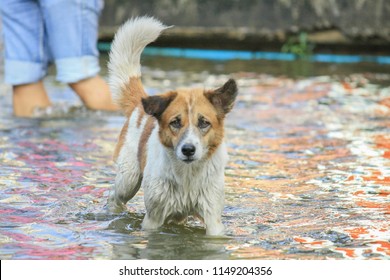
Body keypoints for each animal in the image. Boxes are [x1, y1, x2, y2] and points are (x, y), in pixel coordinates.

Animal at [108, 14, 239, 234]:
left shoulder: (212, 218)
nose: (188, 150)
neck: (187, 176)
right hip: (128, 180)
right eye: (175, 122)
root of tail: (140, 102)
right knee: (114, 197)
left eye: (204, 123)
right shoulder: (153, 219)